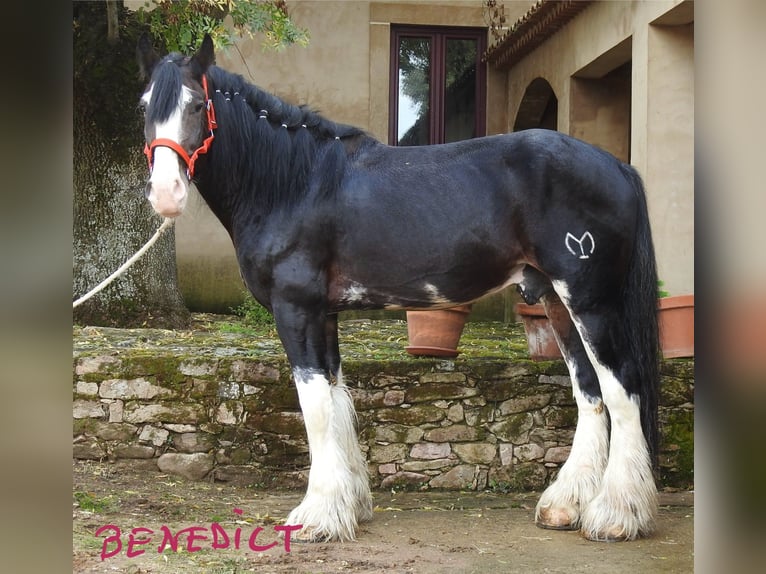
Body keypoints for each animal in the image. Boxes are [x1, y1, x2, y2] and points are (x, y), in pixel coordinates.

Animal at [136, 35, 660, 544]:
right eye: (144, 106)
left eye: (196, 105)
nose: (165, 194)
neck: (294, 184)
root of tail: (618, 166)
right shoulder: (324, 313)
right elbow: (336, 398)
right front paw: (347, 507)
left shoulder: (296, 309)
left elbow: (315, 408)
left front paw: (314, 517)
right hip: (556, 300)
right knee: (589, 391)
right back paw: (565, 505)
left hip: (590, 300)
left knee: (622, 390)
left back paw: (615, 515)